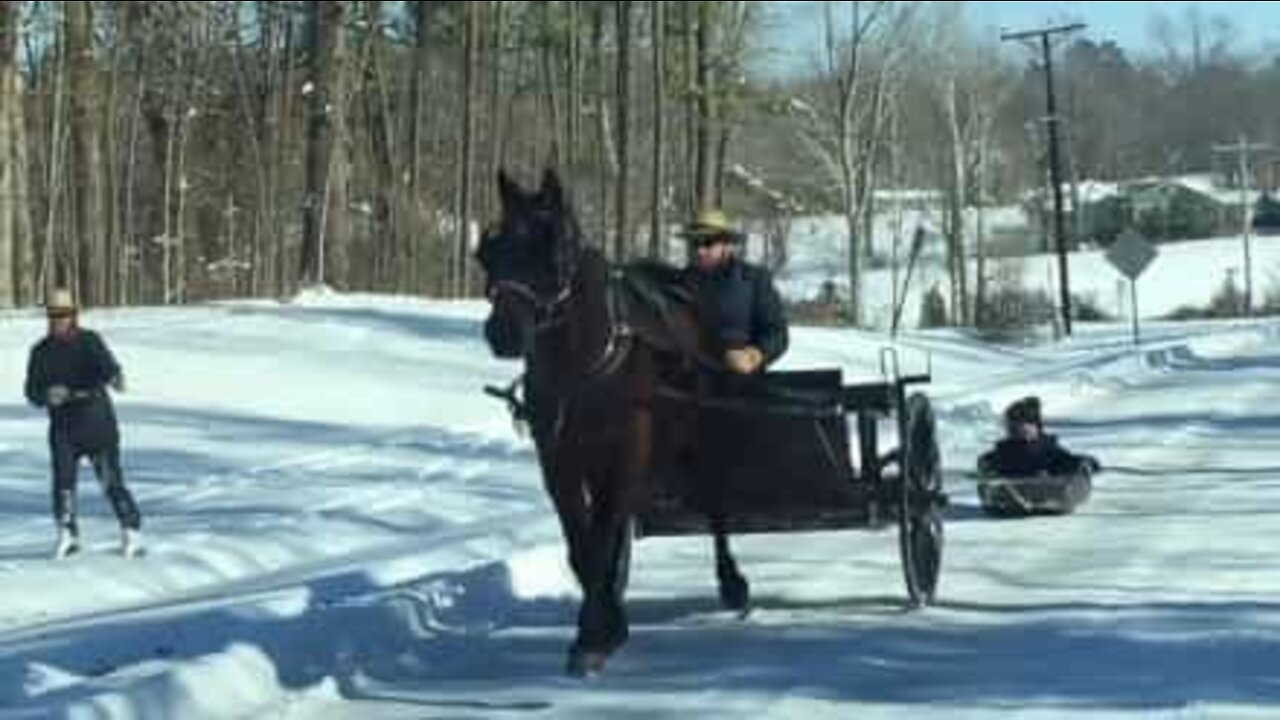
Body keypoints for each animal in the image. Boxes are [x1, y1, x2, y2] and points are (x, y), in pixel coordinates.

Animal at [478, 167, 747, 671]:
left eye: (554, 250)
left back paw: (732, 581)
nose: (501, 333)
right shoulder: (558, 461)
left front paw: (595, 634)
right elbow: (583, 548)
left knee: (715, 499)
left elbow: (601, 541)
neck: (580, 365)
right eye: (490, 251)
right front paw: (602, 628)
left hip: (699, 434)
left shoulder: (623, 451)